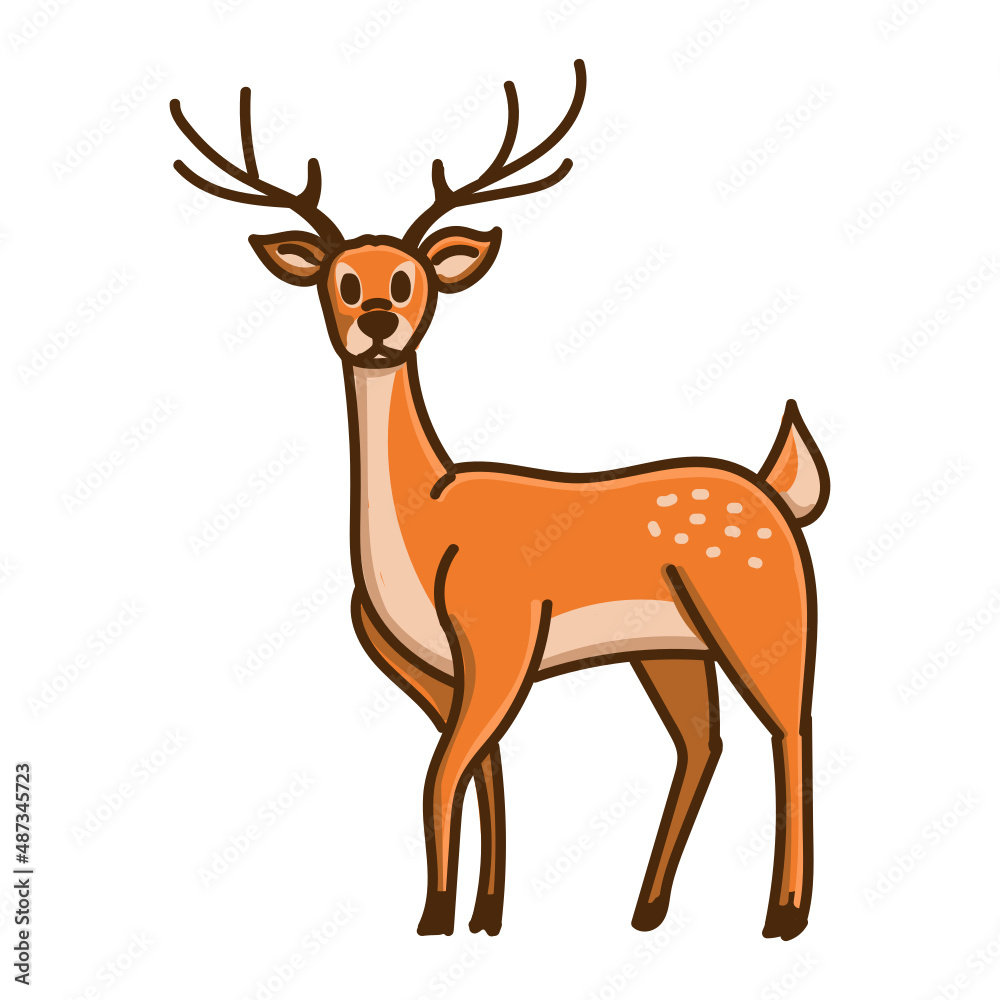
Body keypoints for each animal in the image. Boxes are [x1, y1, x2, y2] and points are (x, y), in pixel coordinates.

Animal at [170, 59, 830, 941]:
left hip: (764, 611)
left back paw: (783, 915)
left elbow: (441, 774)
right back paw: (646, 910)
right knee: (702, 743)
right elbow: (480, 772)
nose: (376, 322)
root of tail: (780, 493)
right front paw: (483, 914)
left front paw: (433, 918)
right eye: (340, 281)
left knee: (791, 727)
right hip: (669, 646)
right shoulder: (435, 669)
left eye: (407, 278)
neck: (422, 527)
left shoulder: (502, 629)